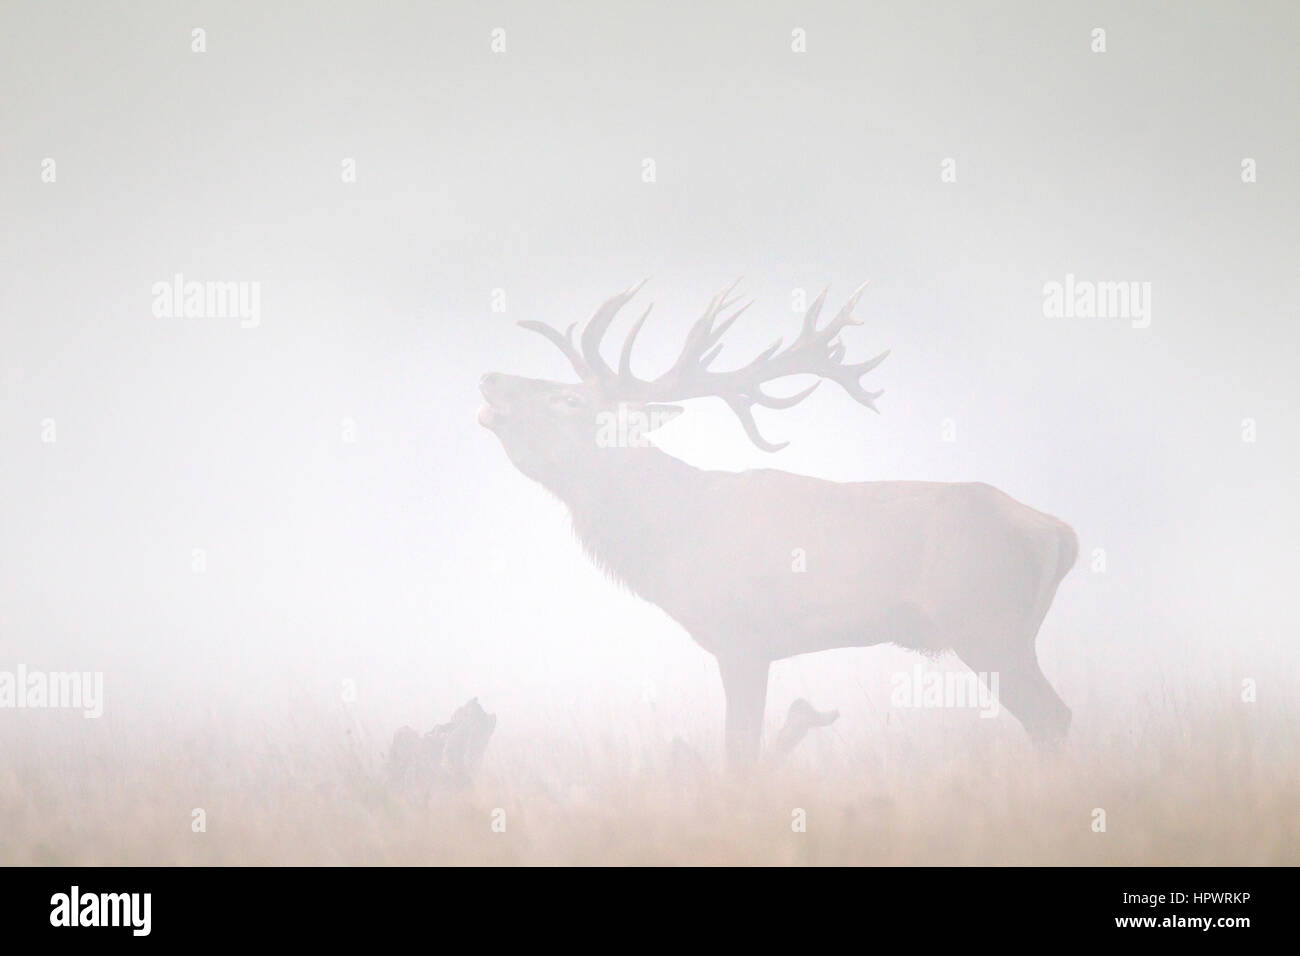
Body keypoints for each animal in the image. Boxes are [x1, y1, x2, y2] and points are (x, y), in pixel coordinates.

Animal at [478, 280, 1077, 770]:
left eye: (568, 399)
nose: (490, 377)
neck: (671, 539)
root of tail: (1059, 533)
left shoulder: (741, 635)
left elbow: (740, 750)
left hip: (985, 623)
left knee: (1050, 718)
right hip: (1010, 631)